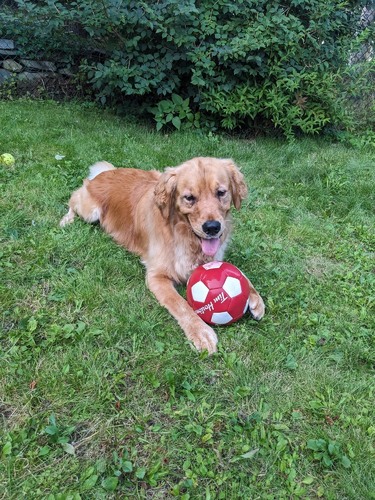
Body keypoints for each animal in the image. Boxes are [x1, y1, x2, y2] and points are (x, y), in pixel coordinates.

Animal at [61, 158, 264, 354]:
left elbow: (238, 273)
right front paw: (201, 332)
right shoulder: (156, 277)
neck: (183, 236)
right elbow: (181, 304)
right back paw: (66, 219)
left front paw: (254, 297)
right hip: (89, 211)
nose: (212, 227)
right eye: (189, 198)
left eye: (221, 193)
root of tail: (107, 172)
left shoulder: (213, 259)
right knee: (73, 199)